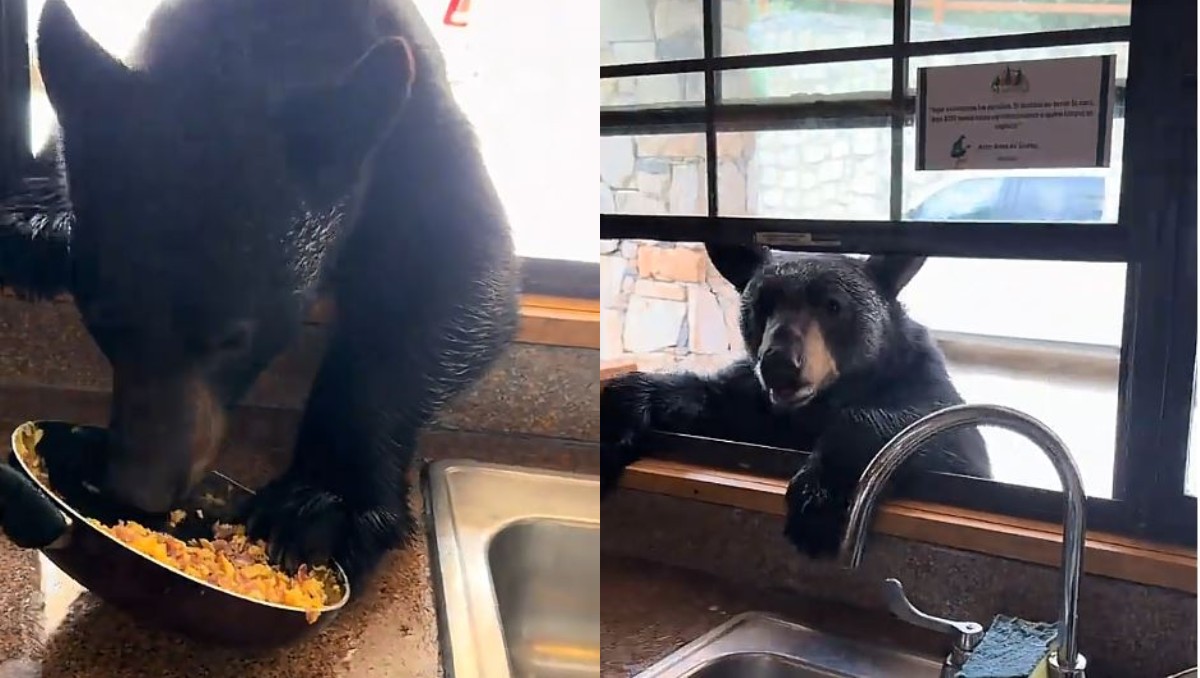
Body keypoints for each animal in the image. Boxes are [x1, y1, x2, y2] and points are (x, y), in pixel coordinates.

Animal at [0, 0, 519, 585]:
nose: (142, 489)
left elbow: (451, 274)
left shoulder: (421, 127)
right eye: (105, 321)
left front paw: (322, 502)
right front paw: (33, 223)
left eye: (233, 339)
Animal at [600, 243, 991, 558]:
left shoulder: (921, 385)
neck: (812, 409)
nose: (779, 364)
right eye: (761, 305)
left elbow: (943, 442)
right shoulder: (752, 401)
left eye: (833, 305)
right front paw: (617, 422)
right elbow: (704, 396)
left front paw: (819, 497)